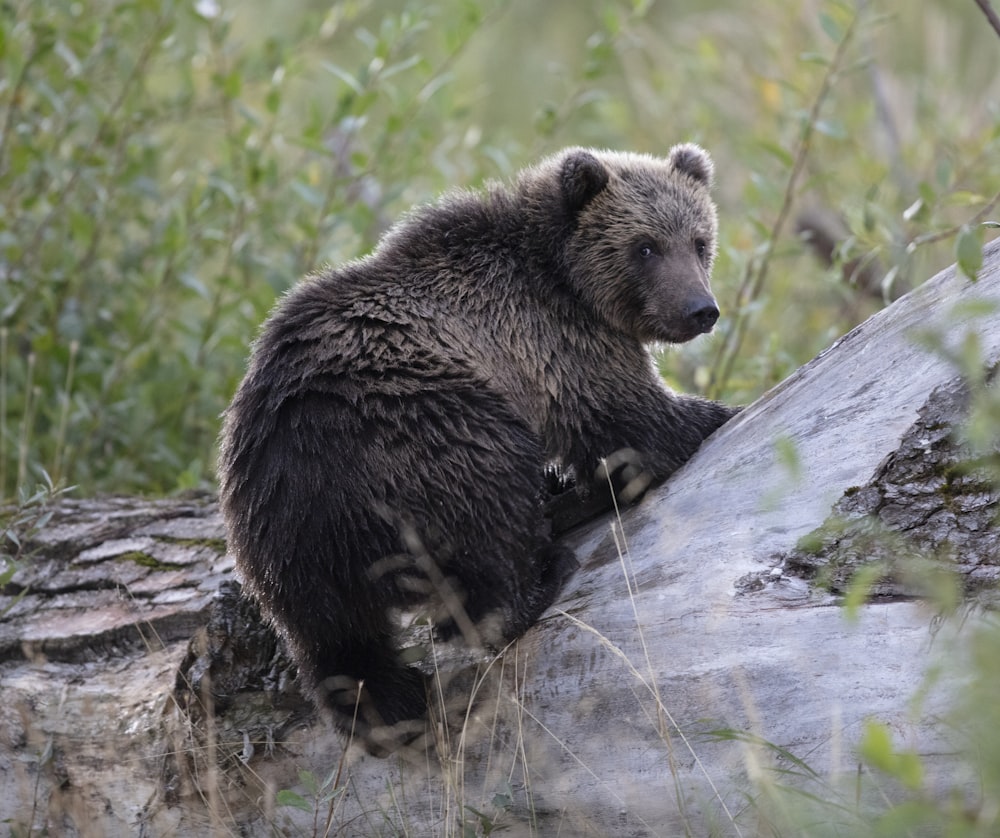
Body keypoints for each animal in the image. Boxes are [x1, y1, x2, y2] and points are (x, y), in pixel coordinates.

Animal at [215, 143, 740, 748]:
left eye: (699, 241)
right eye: (646, 246)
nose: (700, 309)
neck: (564, 276)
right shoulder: (553, 340)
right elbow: (632, 425)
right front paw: (715, 412)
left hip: (277, 534)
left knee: (336, 638)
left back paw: (389, 703)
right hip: (425, 424)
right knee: (488, 511)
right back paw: (541, 572)